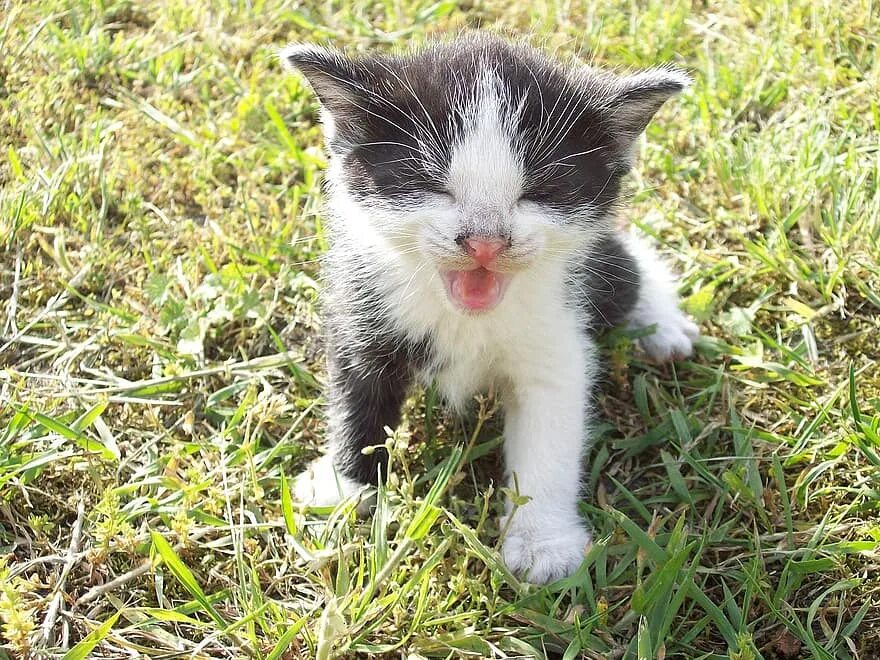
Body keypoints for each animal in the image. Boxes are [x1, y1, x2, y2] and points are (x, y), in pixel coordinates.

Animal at [282, 36, 700, 584]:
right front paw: (344, 485)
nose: (485, 242)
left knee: (626, 264)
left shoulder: (558, 334)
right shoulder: (360, 305)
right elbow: (358, 395)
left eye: (541, 191)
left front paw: (543, 540)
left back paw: (660, 323)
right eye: (429, 184)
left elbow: (549, 433)